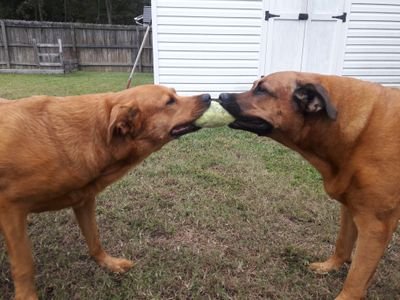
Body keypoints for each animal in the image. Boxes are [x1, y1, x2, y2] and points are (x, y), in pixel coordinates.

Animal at [0, 85, 211, 300]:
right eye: (169, 102)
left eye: (175, 93)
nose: (208, 96)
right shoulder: (10, 209)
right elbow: (24, 265)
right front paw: (26, 296)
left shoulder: (83, 200)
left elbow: (94, 240)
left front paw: (108, 263)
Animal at [219, 71, 400, 298]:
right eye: (254, 86)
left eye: (262, 90)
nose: (220, 96)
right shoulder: (350, 207)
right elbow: (343, 243)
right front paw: (330, 266)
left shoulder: (375, 226)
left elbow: (356, 277)